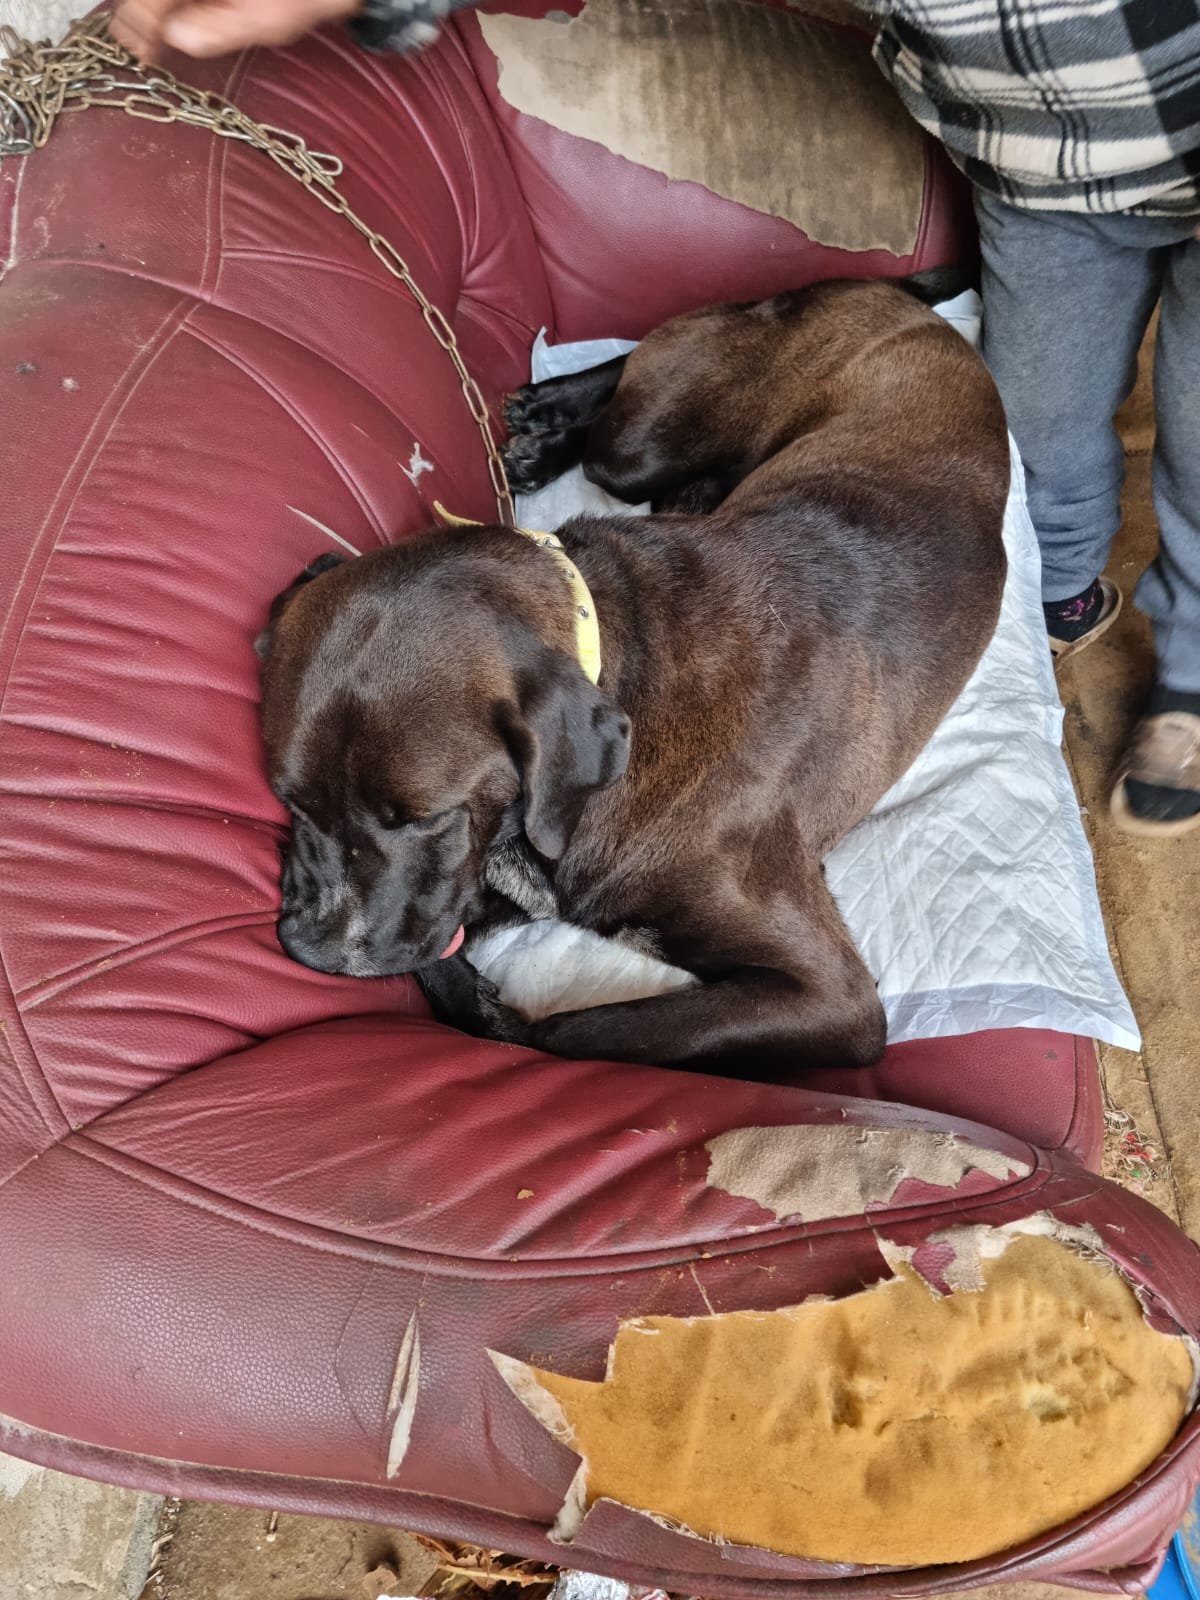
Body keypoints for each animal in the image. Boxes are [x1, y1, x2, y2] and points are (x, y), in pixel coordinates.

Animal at [257, 270, 1009, 1080]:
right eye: (290, 801)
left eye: (428, 818)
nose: (311, 950)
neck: (613, 650)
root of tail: (892, 297)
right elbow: (452, 950)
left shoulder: (830, 995)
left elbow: (560, 1033)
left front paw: (497, 1013)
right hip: (651, 453)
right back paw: (545, 420)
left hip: (647, 442)